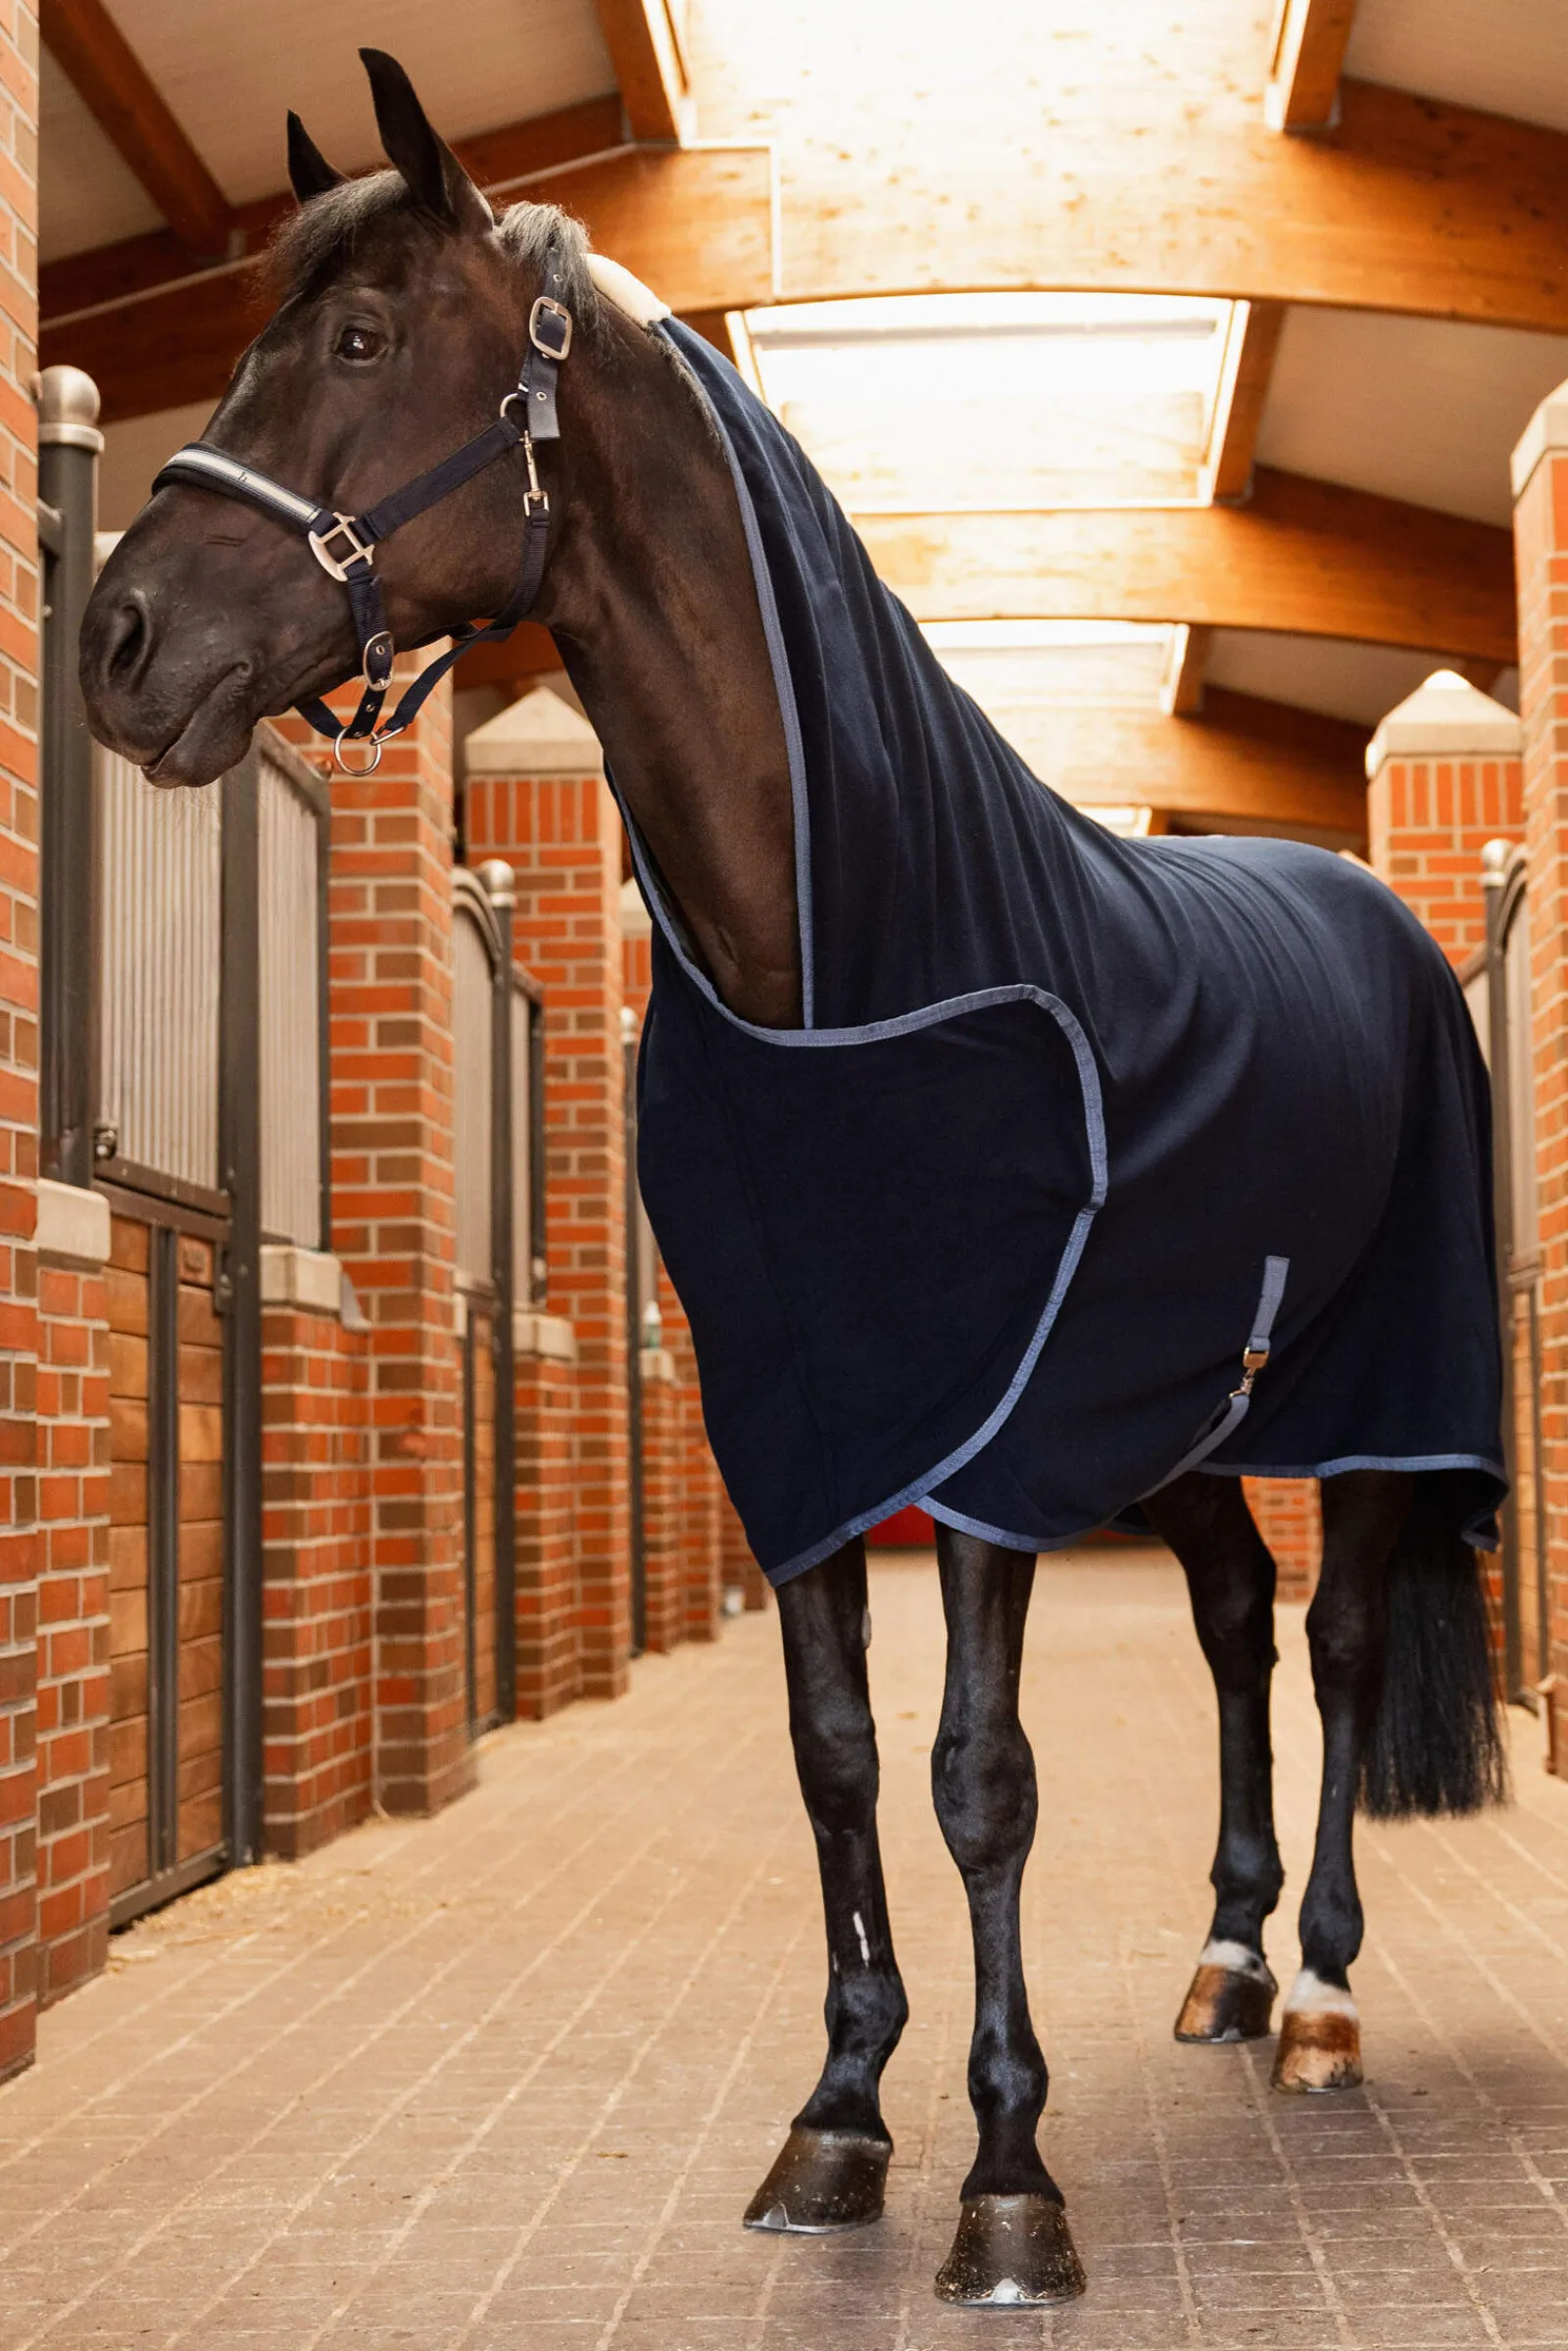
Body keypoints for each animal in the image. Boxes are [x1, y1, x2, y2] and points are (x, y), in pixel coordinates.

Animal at [78, 51, 1509, 2309]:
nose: (117, 641)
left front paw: (1009, 2176)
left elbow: (978, 1777)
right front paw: (839, 2119)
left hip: (1369, 1414)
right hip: (1192, 1427)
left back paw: (1318, 1997)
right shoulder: (810, 1424)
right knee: (1228, 1627)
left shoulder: (982, 1435)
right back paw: (1216, 1955)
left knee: (1345, 1645)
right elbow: (834, 1756)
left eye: (362, 339)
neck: (852, 963)